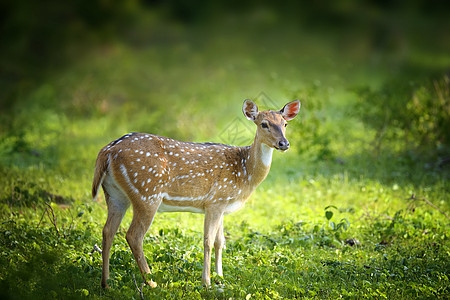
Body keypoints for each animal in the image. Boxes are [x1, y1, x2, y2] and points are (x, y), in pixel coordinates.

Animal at [92, 99, 300, 288]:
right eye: (264, 124)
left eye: (285, 124)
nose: (284, 143)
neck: (245, 171)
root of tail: (107, 151)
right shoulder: (215, 201)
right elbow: (208, 241)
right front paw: (206, 282)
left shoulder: (221, 204)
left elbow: (220, 241)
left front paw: (220, 279)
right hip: (147, 192)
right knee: (133, 236)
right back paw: (151, 283)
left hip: (115, 195)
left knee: (108, 231)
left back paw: (106, 283)